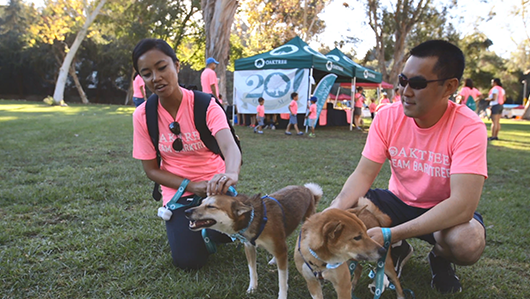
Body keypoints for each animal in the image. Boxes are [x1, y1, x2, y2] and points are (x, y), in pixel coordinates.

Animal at [184, 183, 322, 299]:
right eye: (201, 203)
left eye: (211, 206)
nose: (186, 211)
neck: (251, 218)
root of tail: (307, 189)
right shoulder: (249, 246)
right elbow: (252, 270)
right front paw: (252, 288)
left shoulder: (279, 249)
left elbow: (282, 280)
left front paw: (282, 296)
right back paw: (274, 259)